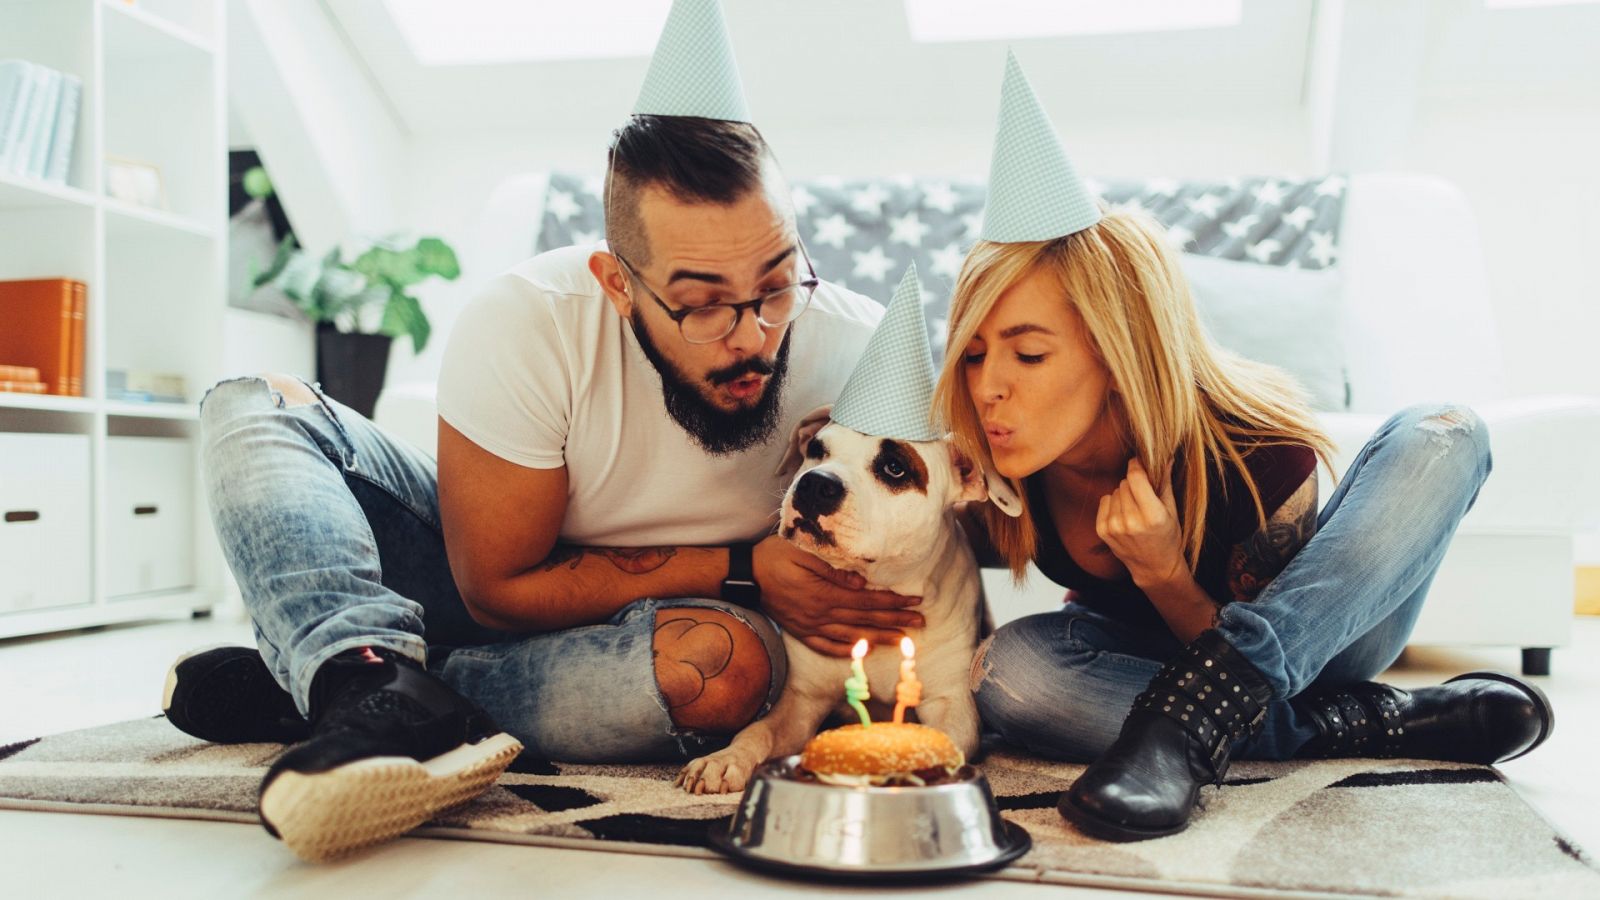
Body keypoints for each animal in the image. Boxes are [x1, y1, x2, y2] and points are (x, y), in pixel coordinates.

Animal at [681, 408, 1017, 791]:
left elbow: (936, 744)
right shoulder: (801, 701)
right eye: (816, 449)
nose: (815, 484)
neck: (880, 586)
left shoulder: (951, 705)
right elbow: (758, 732)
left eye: (894, 468)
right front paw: (723, 760)